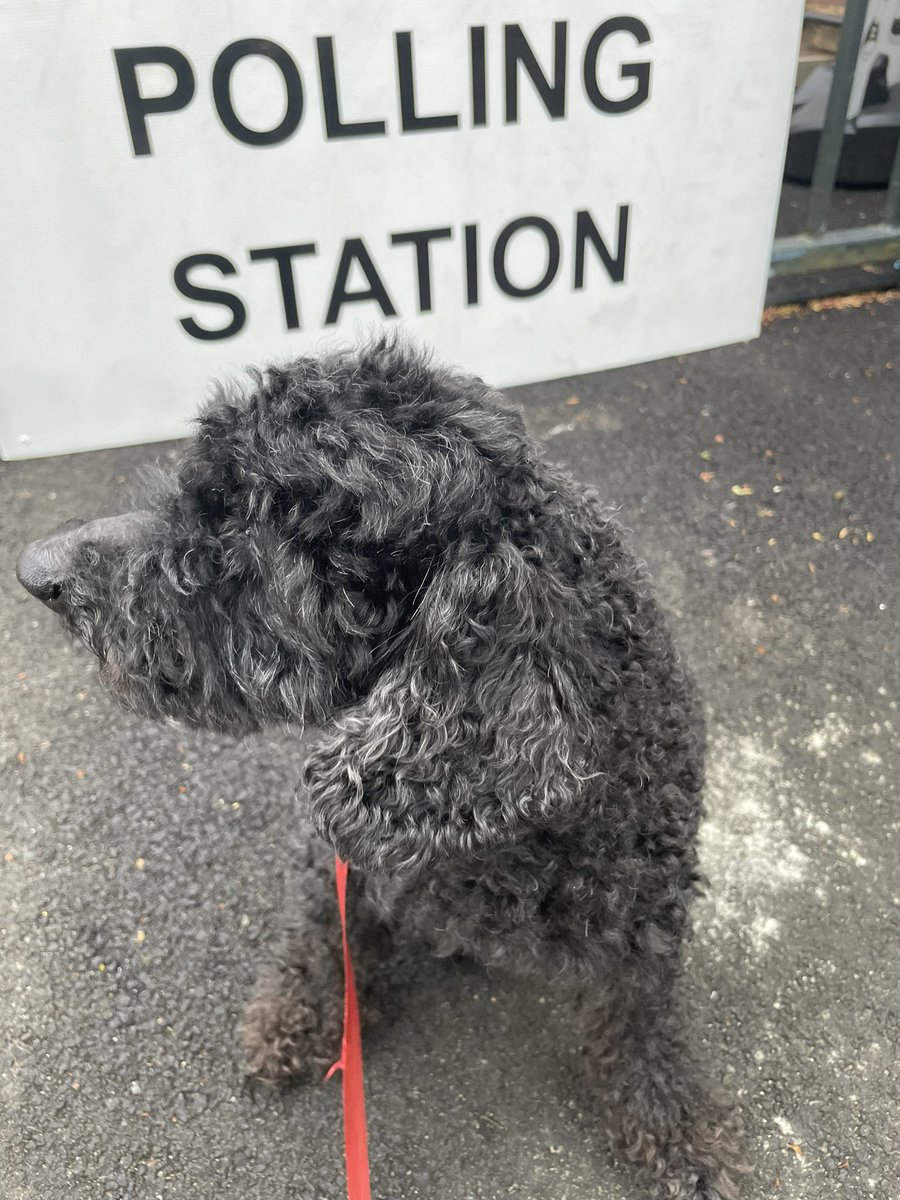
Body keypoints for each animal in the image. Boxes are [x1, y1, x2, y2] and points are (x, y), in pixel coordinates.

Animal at [17, 340, 748, 1200]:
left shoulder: (642, 924)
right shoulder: (336, 863)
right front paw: (293, 1025)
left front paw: (675, 1135)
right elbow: (316, 944)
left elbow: (638, 1029)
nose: (34, 570)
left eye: (234, 519)